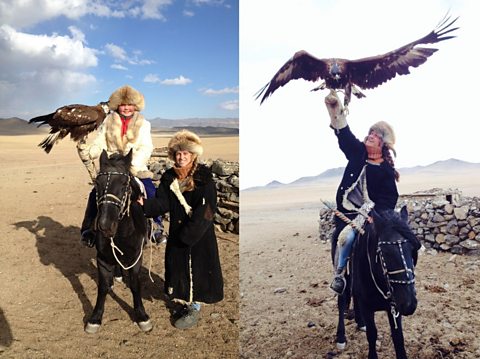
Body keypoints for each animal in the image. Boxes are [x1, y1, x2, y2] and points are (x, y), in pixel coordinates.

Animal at [85, 150, 152, 334]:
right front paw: (95, 318)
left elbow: (135, 285)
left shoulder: (137, 258)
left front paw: (142, 316)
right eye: (97, 183)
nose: (105, 225)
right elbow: (102, 287)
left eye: (124, 184)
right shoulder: (102, 259)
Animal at [352, 208, 420, 359]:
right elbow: (372, 334)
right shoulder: (367, 306)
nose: (409, 304)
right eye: (385, 252)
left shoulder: (394, 308)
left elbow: (398, 337)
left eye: (413, 250)